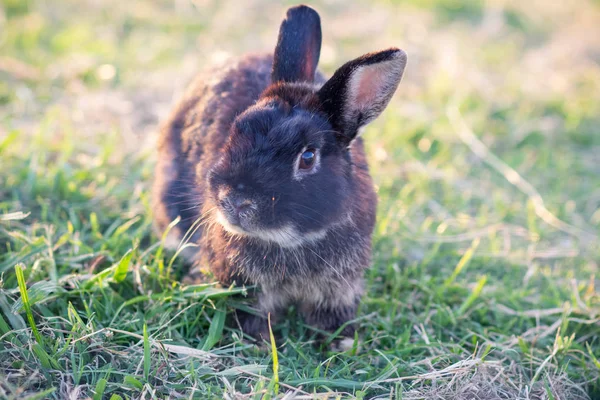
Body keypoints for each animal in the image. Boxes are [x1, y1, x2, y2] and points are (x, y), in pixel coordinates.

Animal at [154, 3, 408, 340]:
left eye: (308, 157)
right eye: (236, 130)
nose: (235, 201)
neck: (291, 241)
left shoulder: (340, 287)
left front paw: (339, 342)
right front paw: (259, 341)